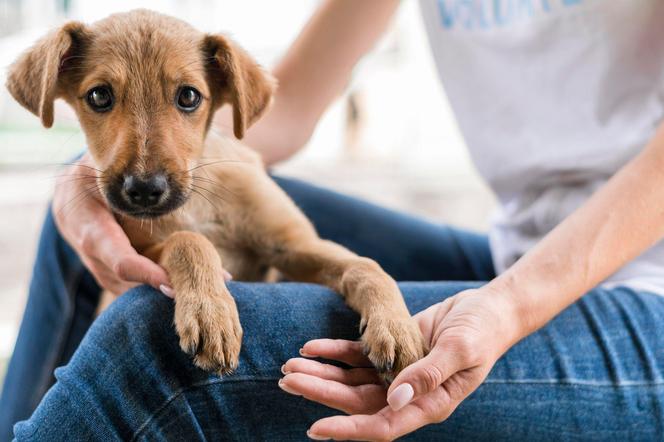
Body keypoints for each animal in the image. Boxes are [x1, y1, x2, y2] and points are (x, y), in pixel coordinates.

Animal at [6, 9, 426, 384]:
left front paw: (397, 327)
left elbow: (366, 266)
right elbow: (188, 241)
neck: (198, 201)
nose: (144, 190)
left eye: (189, 97)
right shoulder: (140, 252)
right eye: (98, 96)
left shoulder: (294, 246)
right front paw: (211, 314)